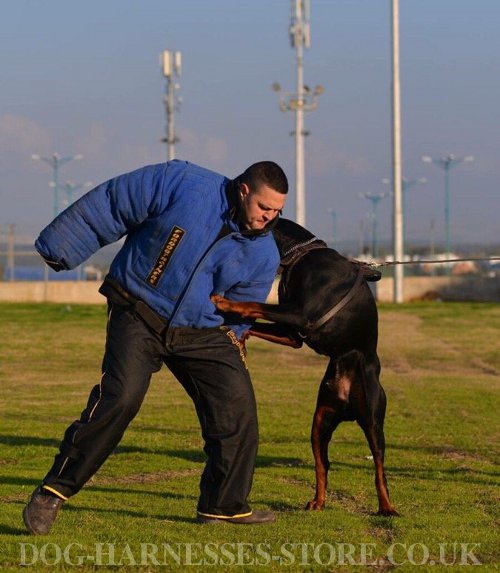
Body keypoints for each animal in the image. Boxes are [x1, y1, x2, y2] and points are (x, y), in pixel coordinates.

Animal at [212, 217, 398, 516]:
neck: (301, 255)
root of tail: (347, 405)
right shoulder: (292, 333)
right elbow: (255, 323)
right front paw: (237, 335)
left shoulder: (299, 314)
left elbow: (253, 304)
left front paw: (223, 301)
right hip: (320, 423)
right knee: (323, 465)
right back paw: (318, 501)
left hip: (372, 420)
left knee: (379, 468)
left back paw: (387, 506)